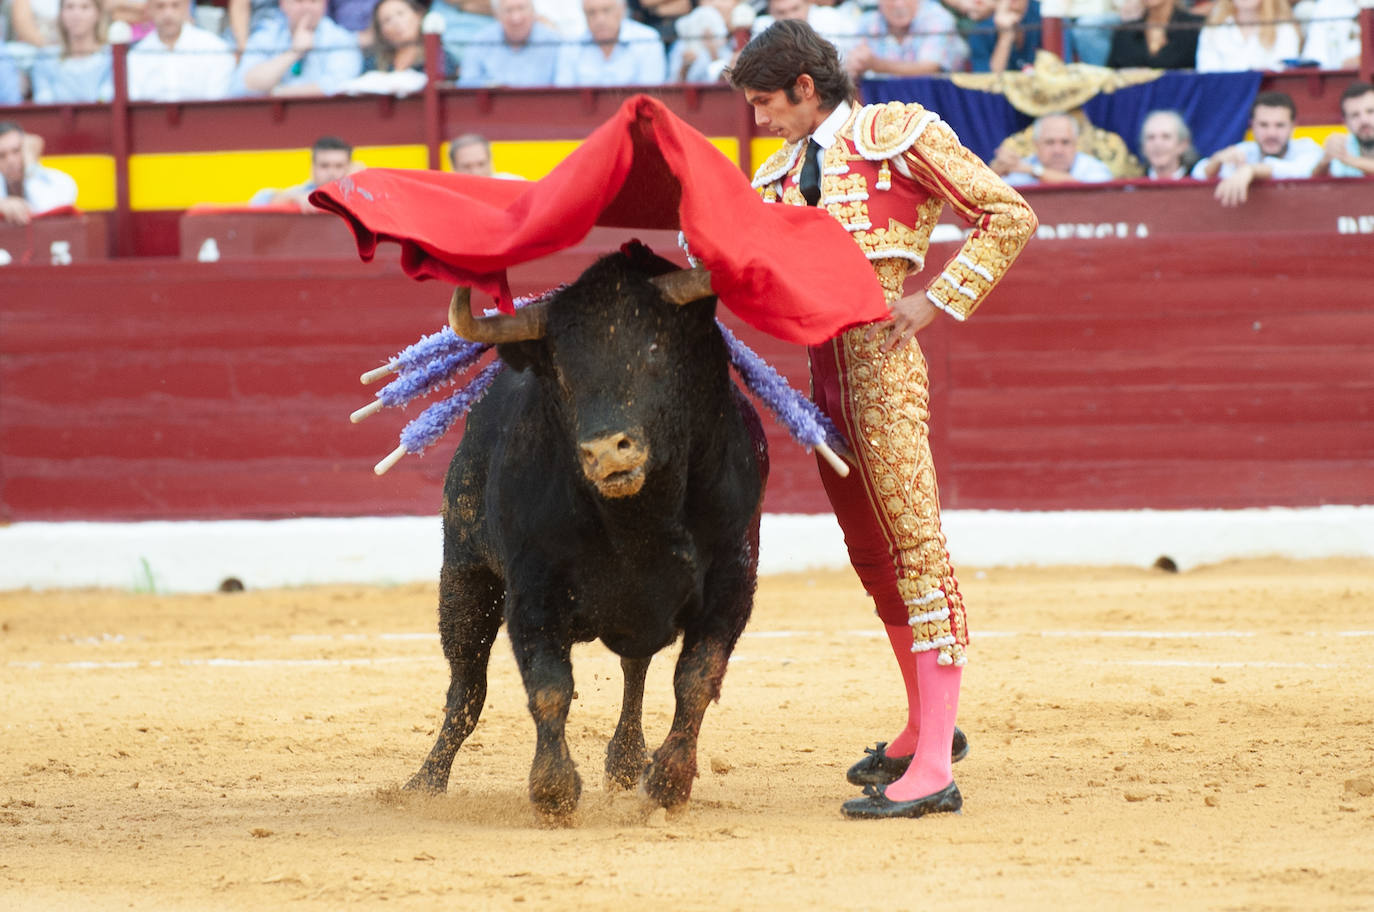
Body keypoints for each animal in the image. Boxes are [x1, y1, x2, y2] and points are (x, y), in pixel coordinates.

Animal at [406, 245, 774, 813]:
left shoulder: (732, 582)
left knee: (635, 669)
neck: (639, 519)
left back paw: (627, 762)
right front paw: (554, 793)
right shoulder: (533, 589)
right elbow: (550, 685)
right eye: (563, 371)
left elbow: (696, 678)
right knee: (466, 686)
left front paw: (668, 784)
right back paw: (424, 783)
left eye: (654, 350)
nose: (605, 451)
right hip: (465, 574)